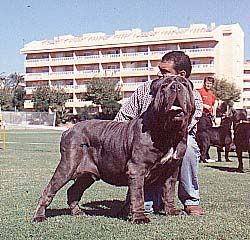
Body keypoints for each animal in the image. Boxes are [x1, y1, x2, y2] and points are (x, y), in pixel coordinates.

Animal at [32, 76, 194, 224]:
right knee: (49, 190)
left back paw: (78, 212)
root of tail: (68, 130)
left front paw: (172, 211)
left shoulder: (171, 170)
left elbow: (169, 192)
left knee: (73, 191)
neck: (169, 132)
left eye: (184, 84)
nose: (176, 87)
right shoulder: (137, 169)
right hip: (68, 166)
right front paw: (140, 218)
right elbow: (138, 195)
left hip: (87, 175)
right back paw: (39, 216)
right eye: (164, 85)